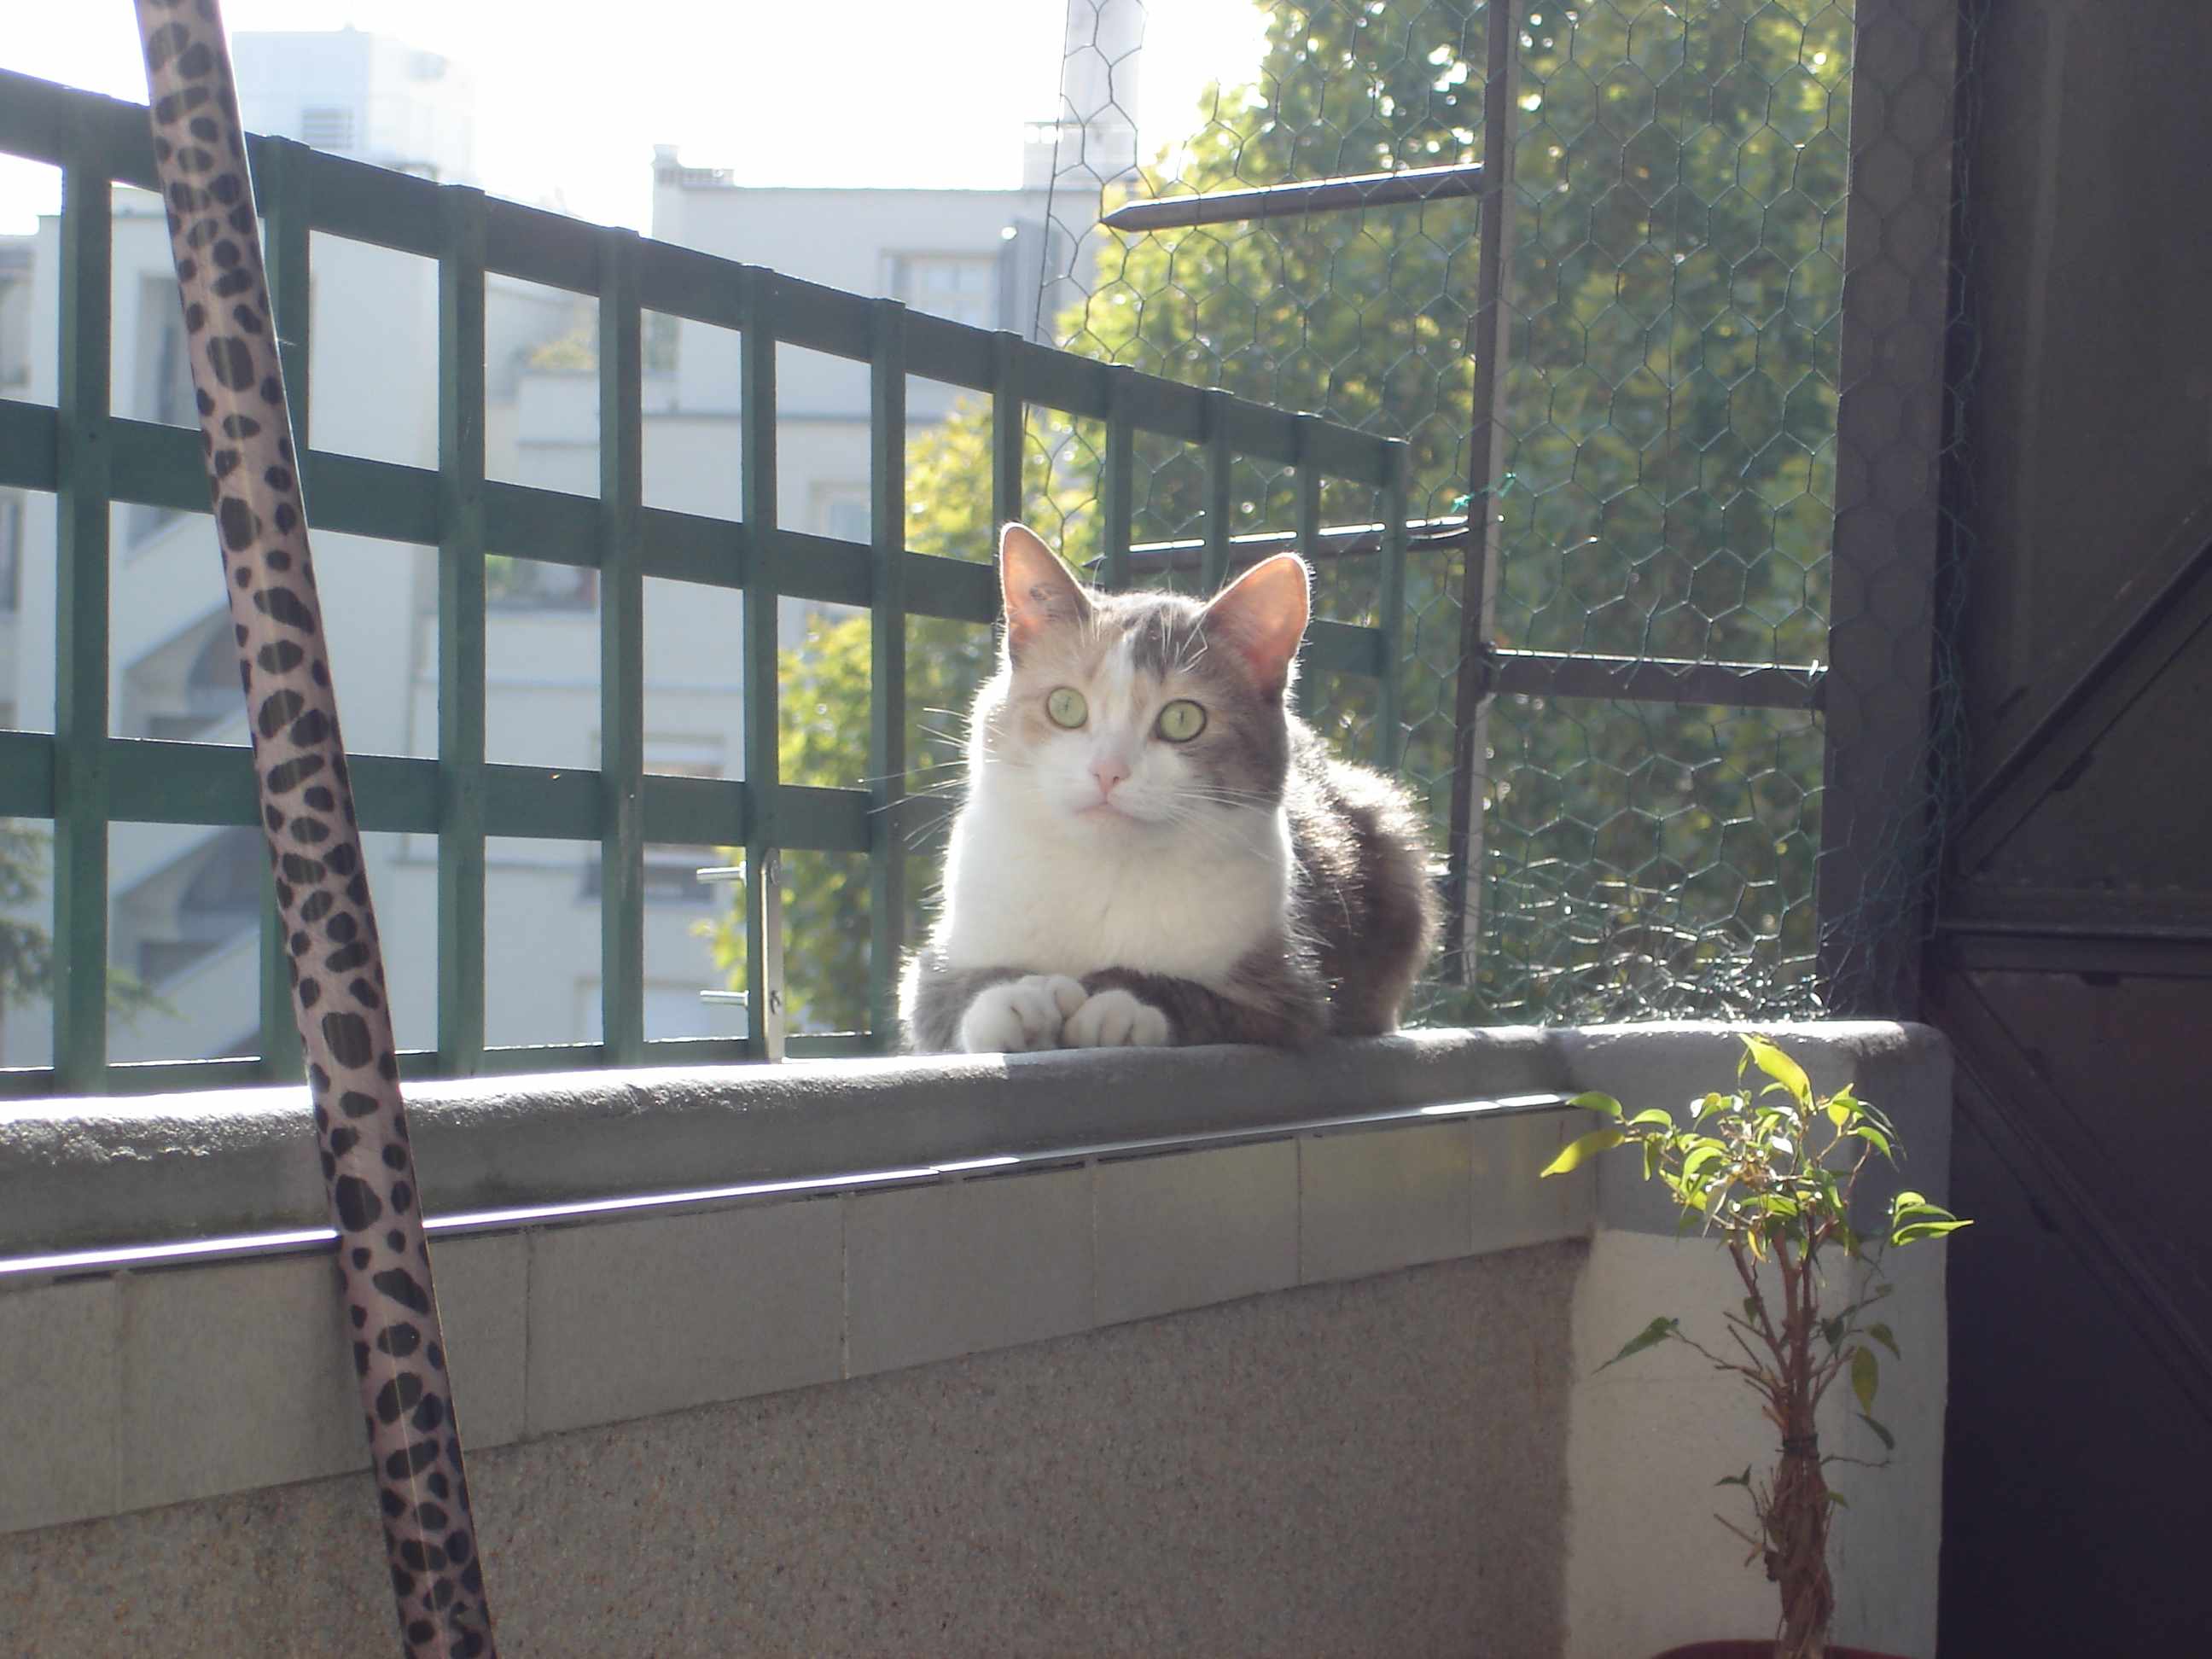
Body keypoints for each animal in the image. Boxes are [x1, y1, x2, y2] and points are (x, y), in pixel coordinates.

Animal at [898, 526, 1433, 1057]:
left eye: (1182, 719)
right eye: (1065, 706)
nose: (1108, 772)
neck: (1106, 871)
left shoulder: (1288, 995)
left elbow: (1198, 997)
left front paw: (1121, 1004)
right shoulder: (936, 961)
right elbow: (947, 994)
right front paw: (1016, 998)